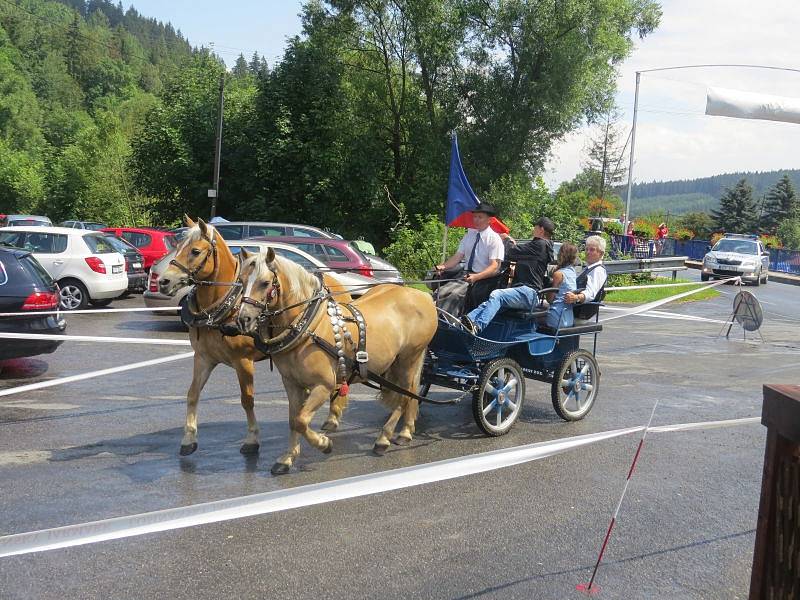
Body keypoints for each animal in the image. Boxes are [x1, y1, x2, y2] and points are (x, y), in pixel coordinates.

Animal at [158, 218, 352, 458]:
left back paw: (333, 417)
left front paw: (252, 439)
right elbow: (193, 394)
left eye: (195, 251)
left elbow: (247, 400)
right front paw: (189, 438)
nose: (163, 281)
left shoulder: (243, 361)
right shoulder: (203, 357)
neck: (224, 305)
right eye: (176, 247)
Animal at [238, 246, 438, 476]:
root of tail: (423, 296)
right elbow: (293, 420)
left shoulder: (324, 385)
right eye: (241, 280)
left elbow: (301, 420)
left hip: (409, 358)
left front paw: (324, 444)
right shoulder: (292, 384)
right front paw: (287, 459)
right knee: (409, 394)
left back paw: (384, 438)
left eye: (264, 283)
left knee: (405, 396)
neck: (308, 327)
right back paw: (405, 431)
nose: (243, 319)